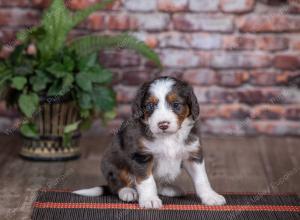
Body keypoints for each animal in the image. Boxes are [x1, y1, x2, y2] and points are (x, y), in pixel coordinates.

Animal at [74, 76, 226, 209]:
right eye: (150, 106)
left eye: (176, 105)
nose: (163, 124)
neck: (168, 137)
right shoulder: (141, 156)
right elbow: (147, 180)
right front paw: (149, 200)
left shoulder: (193, 155)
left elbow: (202, 179)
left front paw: (210, 196)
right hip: (111, 163)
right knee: (116, 184)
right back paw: (127, 192)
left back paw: (169, 189)